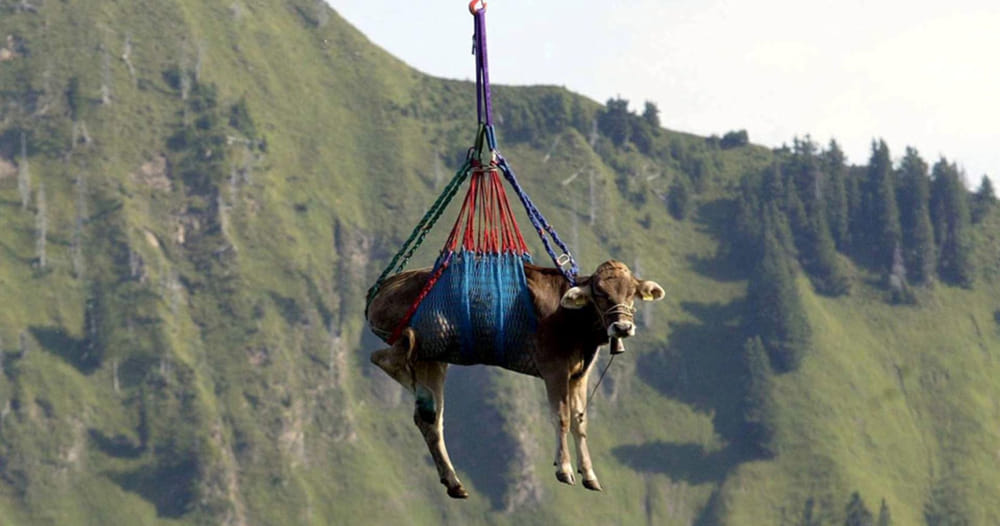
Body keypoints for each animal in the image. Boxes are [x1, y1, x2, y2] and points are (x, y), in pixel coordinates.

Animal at [366, 260, 664, 498]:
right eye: (601, 294)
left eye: (632, 294)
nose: (622, 327)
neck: (573, 320)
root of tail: (386, 286)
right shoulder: (553, 367)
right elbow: (562, 417)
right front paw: (564, 468)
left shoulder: (580, 375)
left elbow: (580, 422)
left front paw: (589, 474)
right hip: (428, 335)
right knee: (384, 356)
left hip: (433, 358)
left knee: (430, 420)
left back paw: (453, 480)